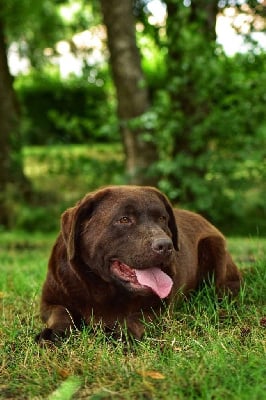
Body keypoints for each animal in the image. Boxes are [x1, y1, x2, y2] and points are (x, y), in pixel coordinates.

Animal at [35, 186, 241, 342]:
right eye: (124, 219)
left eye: (162, 218)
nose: (166, 245)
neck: (103, 289)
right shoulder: (49, 300)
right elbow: (62, 313)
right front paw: (52, 334)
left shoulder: (158, 308)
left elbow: (134, 318)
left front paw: (118, 335)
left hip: (215, 248)